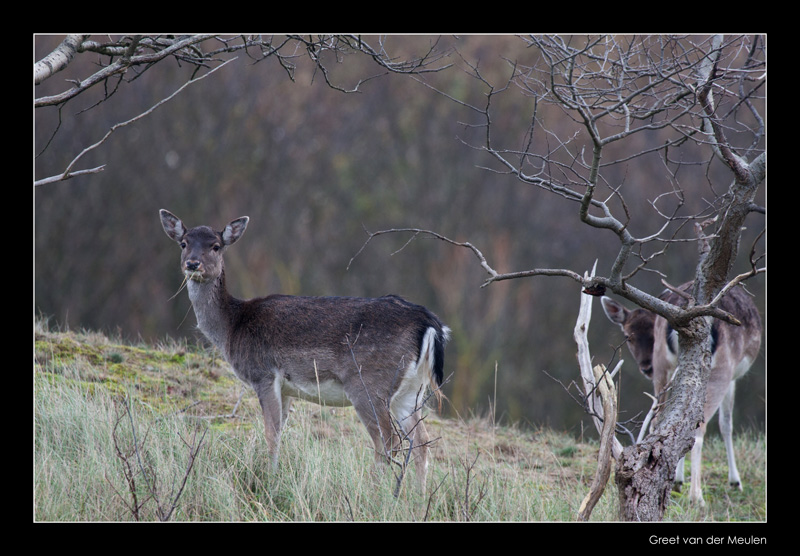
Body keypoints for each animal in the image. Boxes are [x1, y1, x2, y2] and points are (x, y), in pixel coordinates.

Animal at [159, 210, 454, 490]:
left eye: (216, 246)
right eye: (184, 243)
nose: (192, 264)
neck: (232, 326)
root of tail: (430, 323)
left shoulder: (263, 374)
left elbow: (271, 433)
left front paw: (270, 480)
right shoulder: (287, 389)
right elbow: (279, 432)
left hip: (369, 385)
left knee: (389, 441)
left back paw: (377, 493)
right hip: (410, 391)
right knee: (422, 441)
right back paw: (418, 497)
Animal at [600, 284, 764, 506]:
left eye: (650, 334)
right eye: (628, 336)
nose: (646, 367)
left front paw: (677, 479)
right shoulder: (732, 378)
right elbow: (726, 423)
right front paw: (735, 482)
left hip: (664, 367)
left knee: (660, 421)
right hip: (720, 369)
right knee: (698, 428)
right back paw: (697, 497)